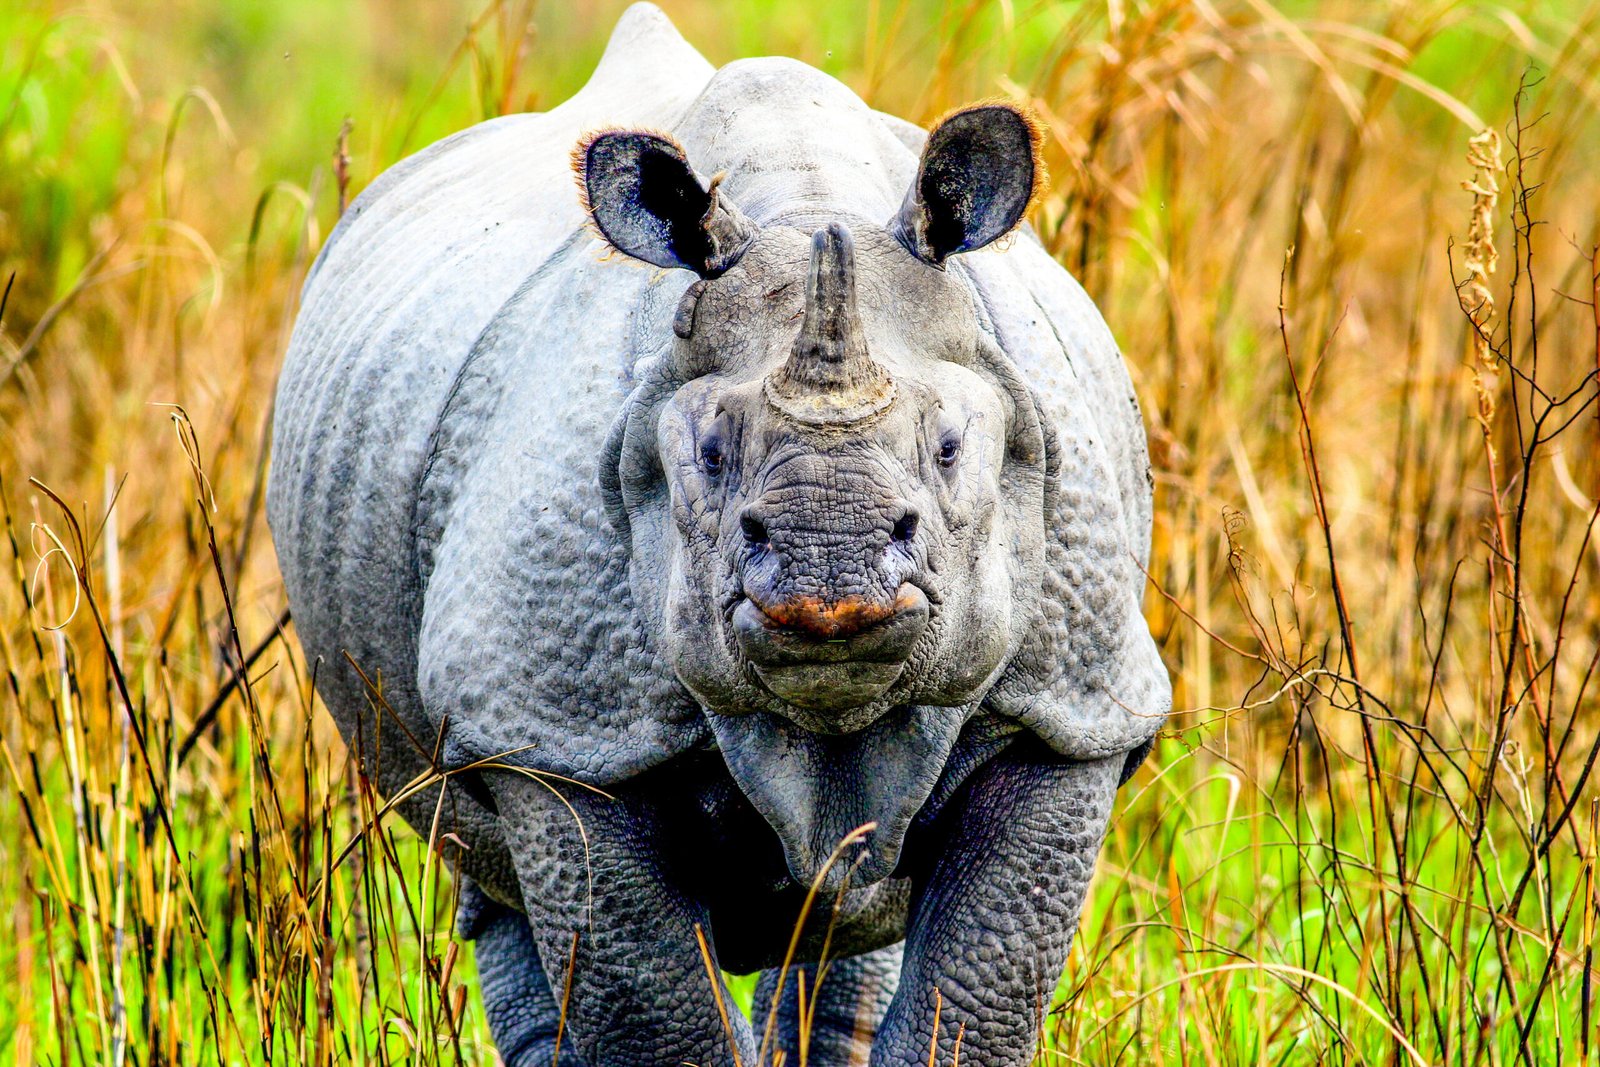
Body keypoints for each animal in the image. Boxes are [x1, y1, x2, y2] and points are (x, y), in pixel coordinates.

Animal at [267, 5, 1169, 1065]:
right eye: (705, 451)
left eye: (952, 447)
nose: (832, 568)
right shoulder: (564, 733)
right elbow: (661, 1020)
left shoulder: (1073, 705)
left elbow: (974, 1002)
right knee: (488, 874)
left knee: (846, 917)